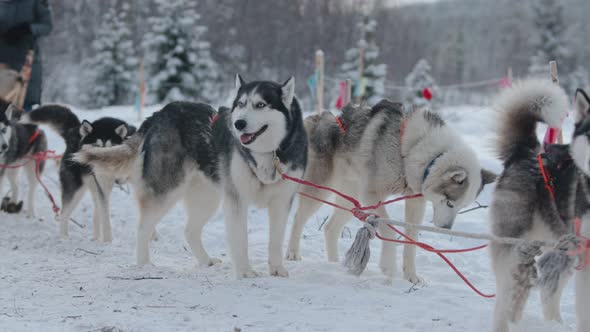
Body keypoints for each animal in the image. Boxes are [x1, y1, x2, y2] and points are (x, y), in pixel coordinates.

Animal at [22, 105, 136, 241]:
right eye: (96, 145)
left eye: (111, 147)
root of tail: (75, 132)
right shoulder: (103, 183)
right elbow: (105, 217)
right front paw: (108, 242)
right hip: (76, 189)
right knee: (65, 213)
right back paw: (64, 237)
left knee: (96, 213)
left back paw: (96, 238)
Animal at [74, 76, 308, 278]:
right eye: (241, 104)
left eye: (260, 105)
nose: (239, 124)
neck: (267, 153)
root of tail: (160, 113)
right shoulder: (237, 199)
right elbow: (241, 240)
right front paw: (245, 272)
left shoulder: (281, 202)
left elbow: (276, 240)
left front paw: (277, 269)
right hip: (166, 190)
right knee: (143, 228)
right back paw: (144, 264)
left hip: (207, 198)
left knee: (189, 231)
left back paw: (205, 261)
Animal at [290, 99, 498, 282]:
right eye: (449, 202)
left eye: (461, 207)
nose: (446, 229)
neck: (416, 150)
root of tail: (318, 117)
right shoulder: (372, 195)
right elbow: (389, 230)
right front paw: (388, 266)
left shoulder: (415, 202)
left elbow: (412, 239)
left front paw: (411, 276)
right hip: (319, 191)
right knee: (298, 218)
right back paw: (292, 254)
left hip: (351, 199)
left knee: (330, 228)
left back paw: (333, 263)